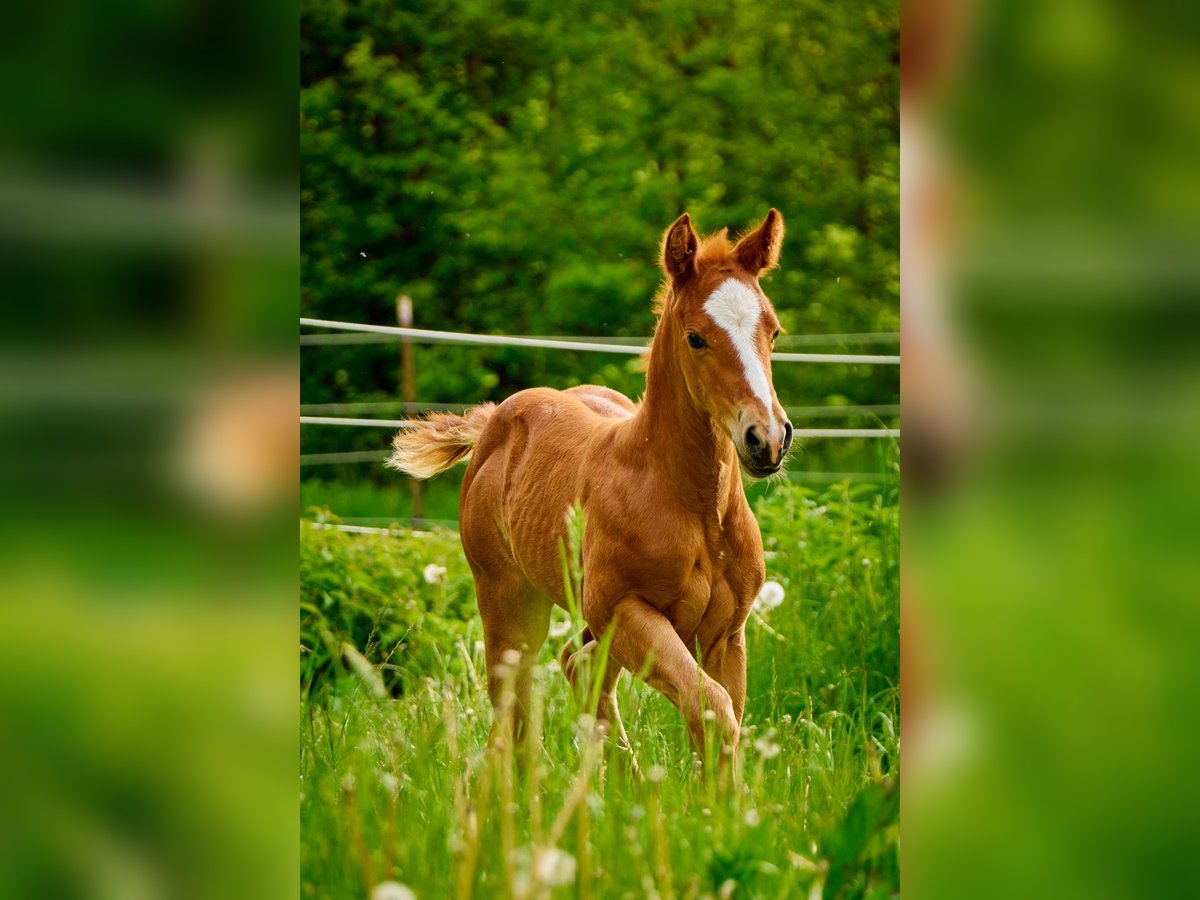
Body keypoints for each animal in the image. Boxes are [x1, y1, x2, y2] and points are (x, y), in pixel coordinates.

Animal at [388, 211, 792, 763]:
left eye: (773, 331)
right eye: (696, 337)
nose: (766, 439)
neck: (697, 510)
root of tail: (495, 421)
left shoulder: (726, 635)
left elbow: (718, 715)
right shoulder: (624, 611)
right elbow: (712, 707)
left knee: (576, 664)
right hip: (509, 603)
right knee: (512, 715)